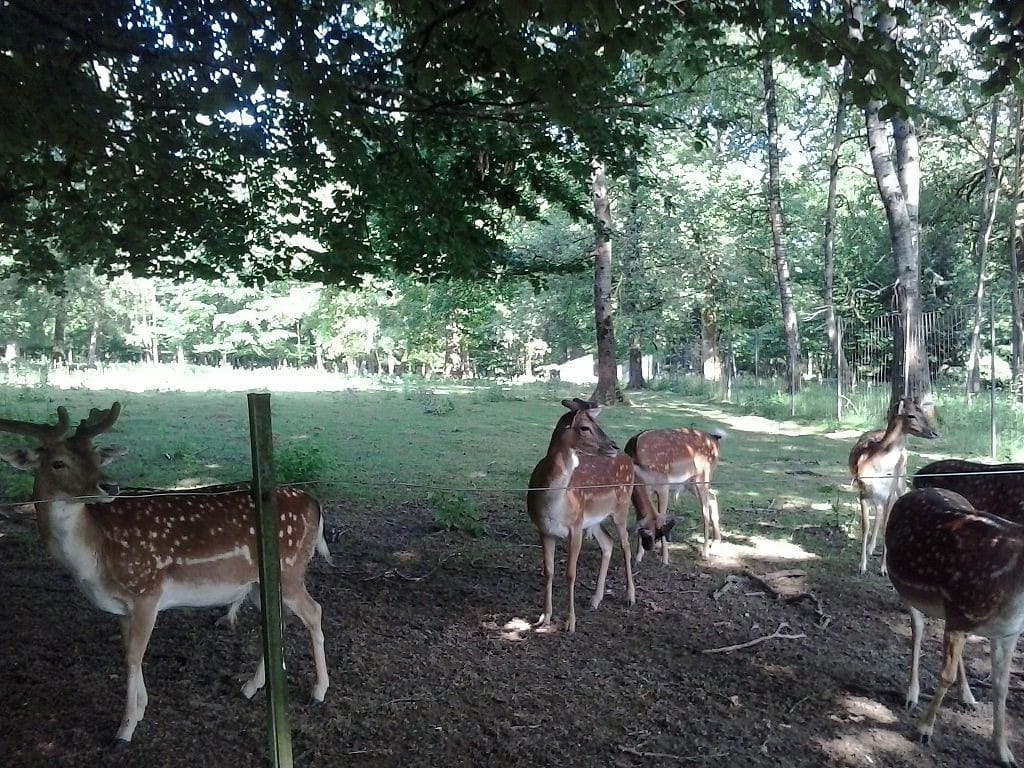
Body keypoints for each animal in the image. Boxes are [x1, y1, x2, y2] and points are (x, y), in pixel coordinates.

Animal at [0, 403, 331, 745]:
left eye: (96, 456)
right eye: (58, 462)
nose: (109, 486)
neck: (94, 556)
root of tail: (314, 504)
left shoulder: (147, 590)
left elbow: (133, 657)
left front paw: (125, 728)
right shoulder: (124, 606)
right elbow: (129, 653)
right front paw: (141, 708)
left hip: (289, 569)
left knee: (314, 611)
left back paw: (317, 692)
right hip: (258, 583)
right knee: (280, 619)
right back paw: (252, 686)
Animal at [524, 399, 659, 634]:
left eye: (598, 423)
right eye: (585, 427)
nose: (613, 446)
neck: (553, 504)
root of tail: (628, 458)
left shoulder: (575, 526)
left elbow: (571, 573)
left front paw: (570, 623)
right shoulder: (544, 530)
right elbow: (548, 571)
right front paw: (544, 617)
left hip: (621, 507)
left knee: (624, 545)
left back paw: (630, 596)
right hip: (594, 519)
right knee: (608, 543)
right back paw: (595, 599)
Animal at [618, 428, 724, 565]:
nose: (650, 546)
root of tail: (716, 438)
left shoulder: (663, 486)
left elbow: (662, 517)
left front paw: (665, 559)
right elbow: (640, 517)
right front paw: (638, 557)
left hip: (703, 476)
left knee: (705, 507)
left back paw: (705, 552)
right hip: (690, 483)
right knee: (713, 497)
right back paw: (716, 541)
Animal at [843, 399, 937, 573]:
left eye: (921, 410)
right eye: (911, 415)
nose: (935, 433)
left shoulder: (890, 493)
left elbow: (886, 524)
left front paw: (883, 569)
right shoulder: (863, 492)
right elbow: (865, 526)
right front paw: (862, 566)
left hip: (900, 483)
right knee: (878, 511)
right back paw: (870, 548)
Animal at [884, 489, 1024, 765]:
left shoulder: (1009, 631)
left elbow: (1001, 687)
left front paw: (1004, 753)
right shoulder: (962, 613)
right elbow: (944, 676)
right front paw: (924, 729)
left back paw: (968, 697)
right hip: (908, 590)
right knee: (918, 629)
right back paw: (912, 695)